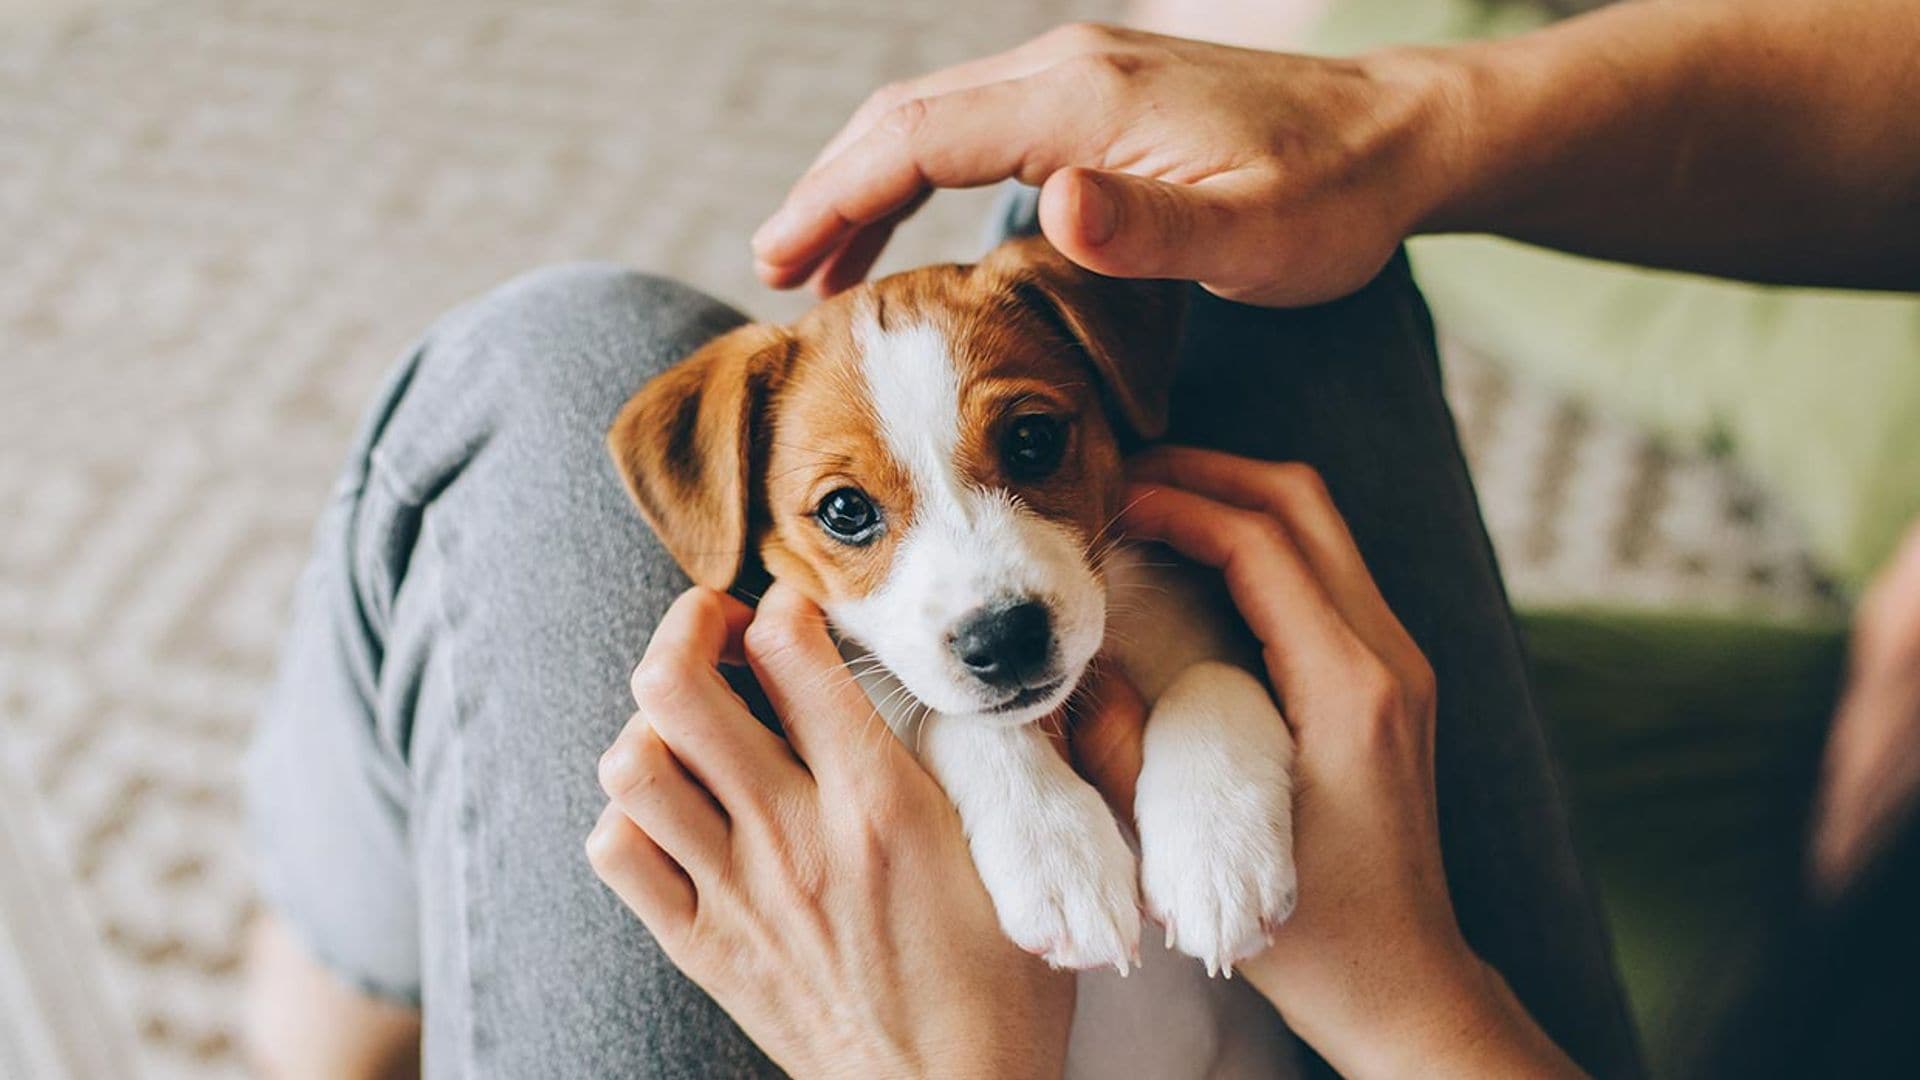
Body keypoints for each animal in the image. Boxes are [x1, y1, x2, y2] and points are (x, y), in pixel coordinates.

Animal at [610, 237, 1305, 1076]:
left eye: (1032, 439)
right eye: (845, 510)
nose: (1002, 640)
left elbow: (1214, 672)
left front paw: (1215, 853)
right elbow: (957, 721)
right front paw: (1054, 853)